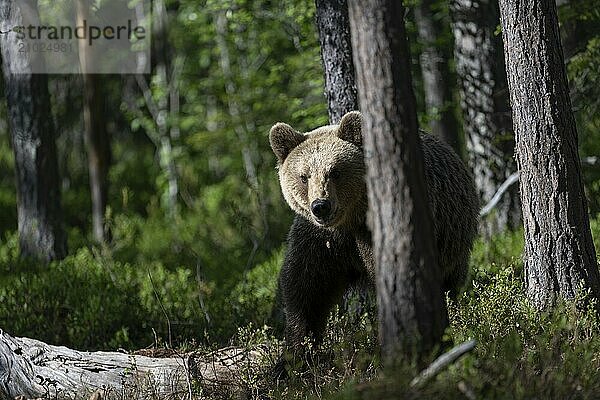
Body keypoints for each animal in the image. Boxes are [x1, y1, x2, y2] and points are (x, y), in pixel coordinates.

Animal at [270, 111, 480, 354]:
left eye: (335, 172)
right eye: (304, 176)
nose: (321, 206)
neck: (351, 219)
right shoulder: (320, 239)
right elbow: (306, 289)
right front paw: (294, 352)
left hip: (452, 236)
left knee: (451, 282)